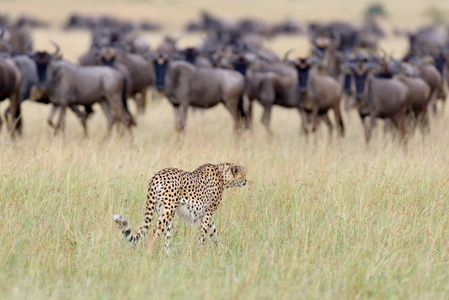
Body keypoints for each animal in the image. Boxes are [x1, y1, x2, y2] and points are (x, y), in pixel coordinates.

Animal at [111, 163, 245, 254]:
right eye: (244, 174)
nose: (246, 181)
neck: (223, 175)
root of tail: (156, 176)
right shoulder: (208, 211)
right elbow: (204, 234)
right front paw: (200, 253)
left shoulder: (206, 214)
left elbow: (214, 233)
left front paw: (222, 251)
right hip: (168, 210)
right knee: (154, 232)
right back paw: (149, 256)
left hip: (165, 211)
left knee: (166, 236)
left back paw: (168, 257)